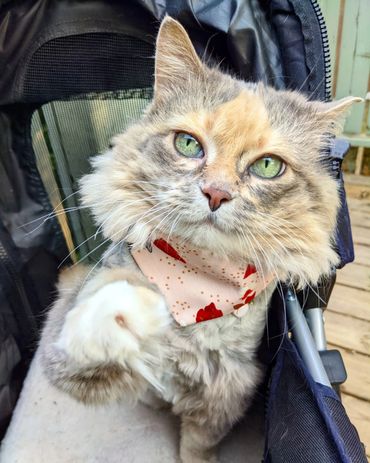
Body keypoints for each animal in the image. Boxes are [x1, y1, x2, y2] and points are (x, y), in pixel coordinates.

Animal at [39, 15, 358, 463]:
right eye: (188, 144)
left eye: (267, 166)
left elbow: (197, 445)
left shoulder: (228, 387)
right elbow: (100, 315)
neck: (199, 282)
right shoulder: (69, 359)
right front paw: (143, 306)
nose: (216, 193)